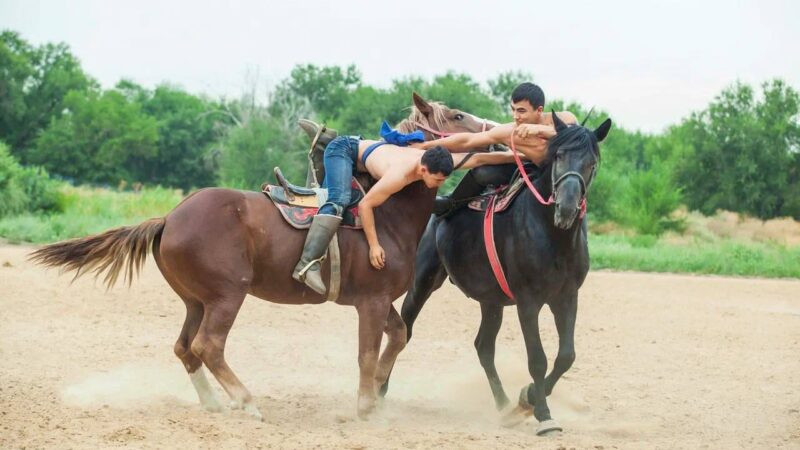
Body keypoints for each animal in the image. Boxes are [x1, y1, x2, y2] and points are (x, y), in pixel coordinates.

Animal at [29, 93, 488, 420]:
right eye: (457, 117)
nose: (489, 129)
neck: (388, 211)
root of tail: (170, 217)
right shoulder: (371, 303)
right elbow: (367, 352)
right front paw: (364, 406)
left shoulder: (381, 303)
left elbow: (398, 337)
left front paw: (376, 392)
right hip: (227, 295)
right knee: (208, 345)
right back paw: (247, 402)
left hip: (197, 300)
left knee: (185, 347)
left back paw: (214, 403)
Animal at [390, 114, 608, 434]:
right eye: (558, 156)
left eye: (592, 163)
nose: (566, 207)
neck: (552, 236)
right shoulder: (528, 302)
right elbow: (538, 359)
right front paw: (543, 413)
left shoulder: (566, 297)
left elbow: (566, 356)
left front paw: (528, 398)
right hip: (423, 282)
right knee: (403, 330)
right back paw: (377, 391)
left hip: (491, 302)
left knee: (484, 347)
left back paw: (505, 405)